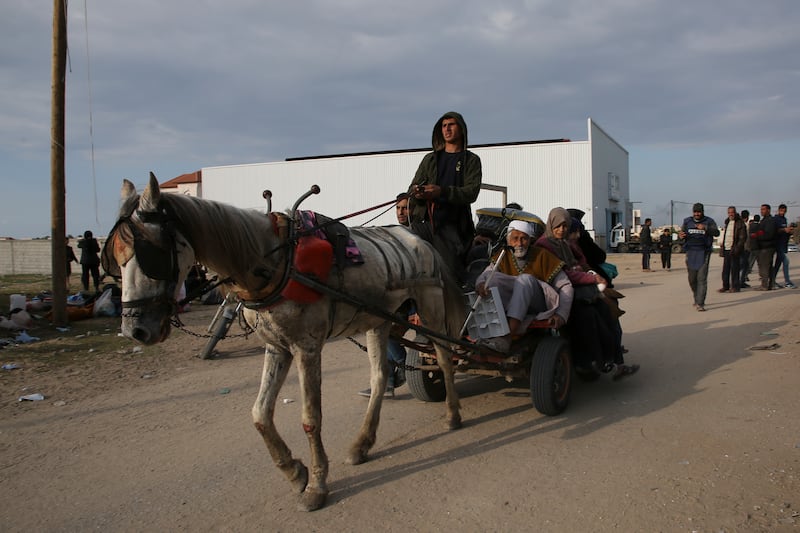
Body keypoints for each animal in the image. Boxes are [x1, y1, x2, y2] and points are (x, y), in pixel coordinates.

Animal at [106, 175, 468, 512]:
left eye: (151, 252)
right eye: (115, 258)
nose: (135, 329)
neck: (276, 262)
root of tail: (417, 238)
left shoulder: (307, 347)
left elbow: (310, 418)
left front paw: (317, 486)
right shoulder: (277, 346)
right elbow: (259, 413)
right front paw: (295, 471)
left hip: (429, 306)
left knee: (443, 357)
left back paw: (452, 414)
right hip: (377, 319)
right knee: (379, 377)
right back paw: (362, 444)